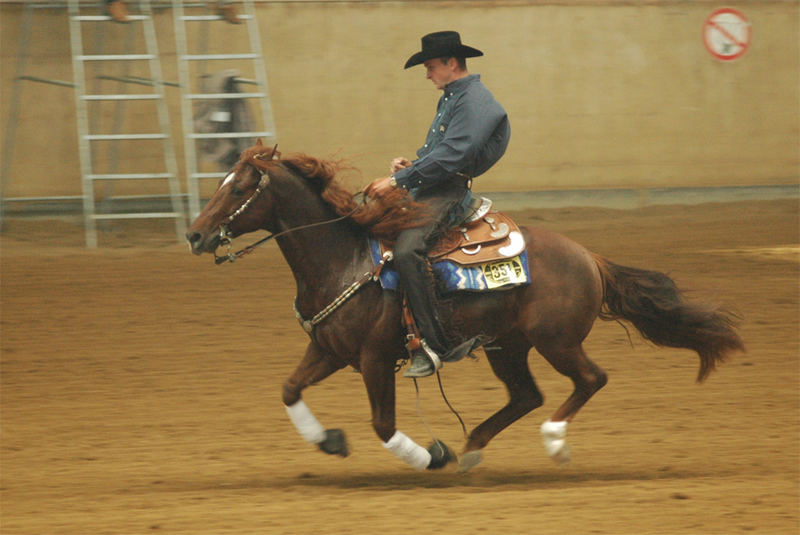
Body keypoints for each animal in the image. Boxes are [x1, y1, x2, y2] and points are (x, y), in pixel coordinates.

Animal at [186, 141, 744, 474]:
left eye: (239, 188)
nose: (194, 235)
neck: (342, 260)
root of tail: (589, 256)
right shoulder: (329, 350)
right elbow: (288, 389)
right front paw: (329, 441)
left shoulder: (373, 359)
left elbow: (383, 424)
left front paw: (432, 455)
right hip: (508, 346)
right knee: (527, 395)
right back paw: (474, 447)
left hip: (555, 340)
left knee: (590, 380)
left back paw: (552, 441)